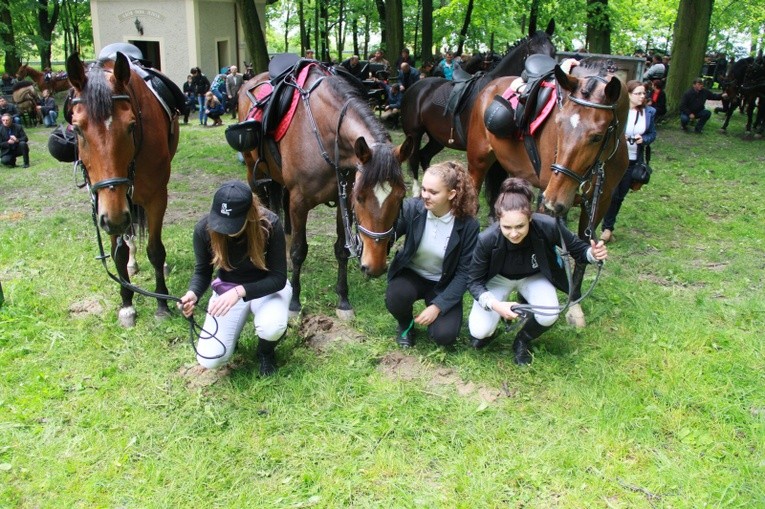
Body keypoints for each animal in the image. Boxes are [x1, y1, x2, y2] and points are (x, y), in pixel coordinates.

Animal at [65, 50, 179, 326]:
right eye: (77, 129)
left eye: (131, 125)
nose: (115, 218)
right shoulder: (106, 207)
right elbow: (118, 253)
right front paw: (127, 302)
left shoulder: (156, 197)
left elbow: (156, 250)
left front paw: (162, 303)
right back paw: (132, 263)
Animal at [239, 62, 414, 318]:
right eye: (361, 197)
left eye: (401, 196)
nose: (374, 266)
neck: (324, 132)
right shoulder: (300, 202)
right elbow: (299, 251)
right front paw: (294, 304)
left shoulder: (343, 200)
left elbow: (341, 250)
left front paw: (343, 300)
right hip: (255, 174)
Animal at [400, 20, 556, 194]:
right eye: (532, 51)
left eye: (554, 51)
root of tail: (414, 87)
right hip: (414, 134)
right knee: (414, 160)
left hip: (437, 138)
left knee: (424, 156)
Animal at [466, 60, 628, 326]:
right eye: (559, 125)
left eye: (596, 136)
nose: (555, 200)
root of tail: (490, 85)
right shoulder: (546, 197)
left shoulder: (599, 201)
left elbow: (582, 247)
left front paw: (574, 306)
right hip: (478, 163)